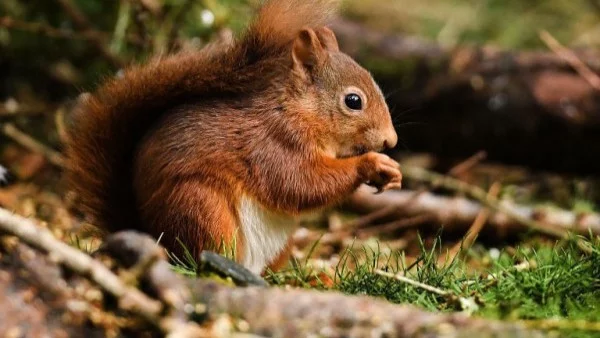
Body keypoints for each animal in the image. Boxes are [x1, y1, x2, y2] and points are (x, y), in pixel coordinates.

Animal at [65, 0, 400, 274]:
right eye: (353, 101)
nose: (391, 141)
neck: (299, 110)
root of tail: (150, 234)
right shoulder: (273, 143)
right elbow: (300, 182)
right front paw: (372, 164)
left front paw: (392, 175)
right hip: (201, 207)